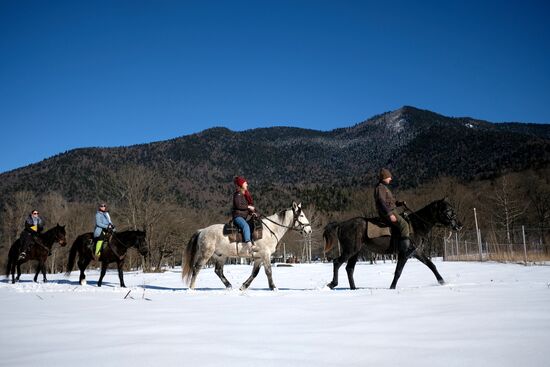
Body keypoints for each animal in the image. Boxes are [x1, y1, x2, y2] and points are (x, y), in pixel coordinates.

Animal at [326, 198, 464, 290]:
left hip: (355, 252)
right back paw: (333, 284)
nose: (459, 225)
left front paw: (442, 282)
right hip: (350, 250)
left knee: (349, 268)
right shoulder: (404, 253)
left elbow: (431, 265)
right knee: (337, 262)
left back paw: (354, 288)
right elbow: (398, 271)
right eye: (448, 211)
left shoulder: (416, 252)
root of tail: (342, 224)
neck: (416, 225)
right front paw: (392, 287)